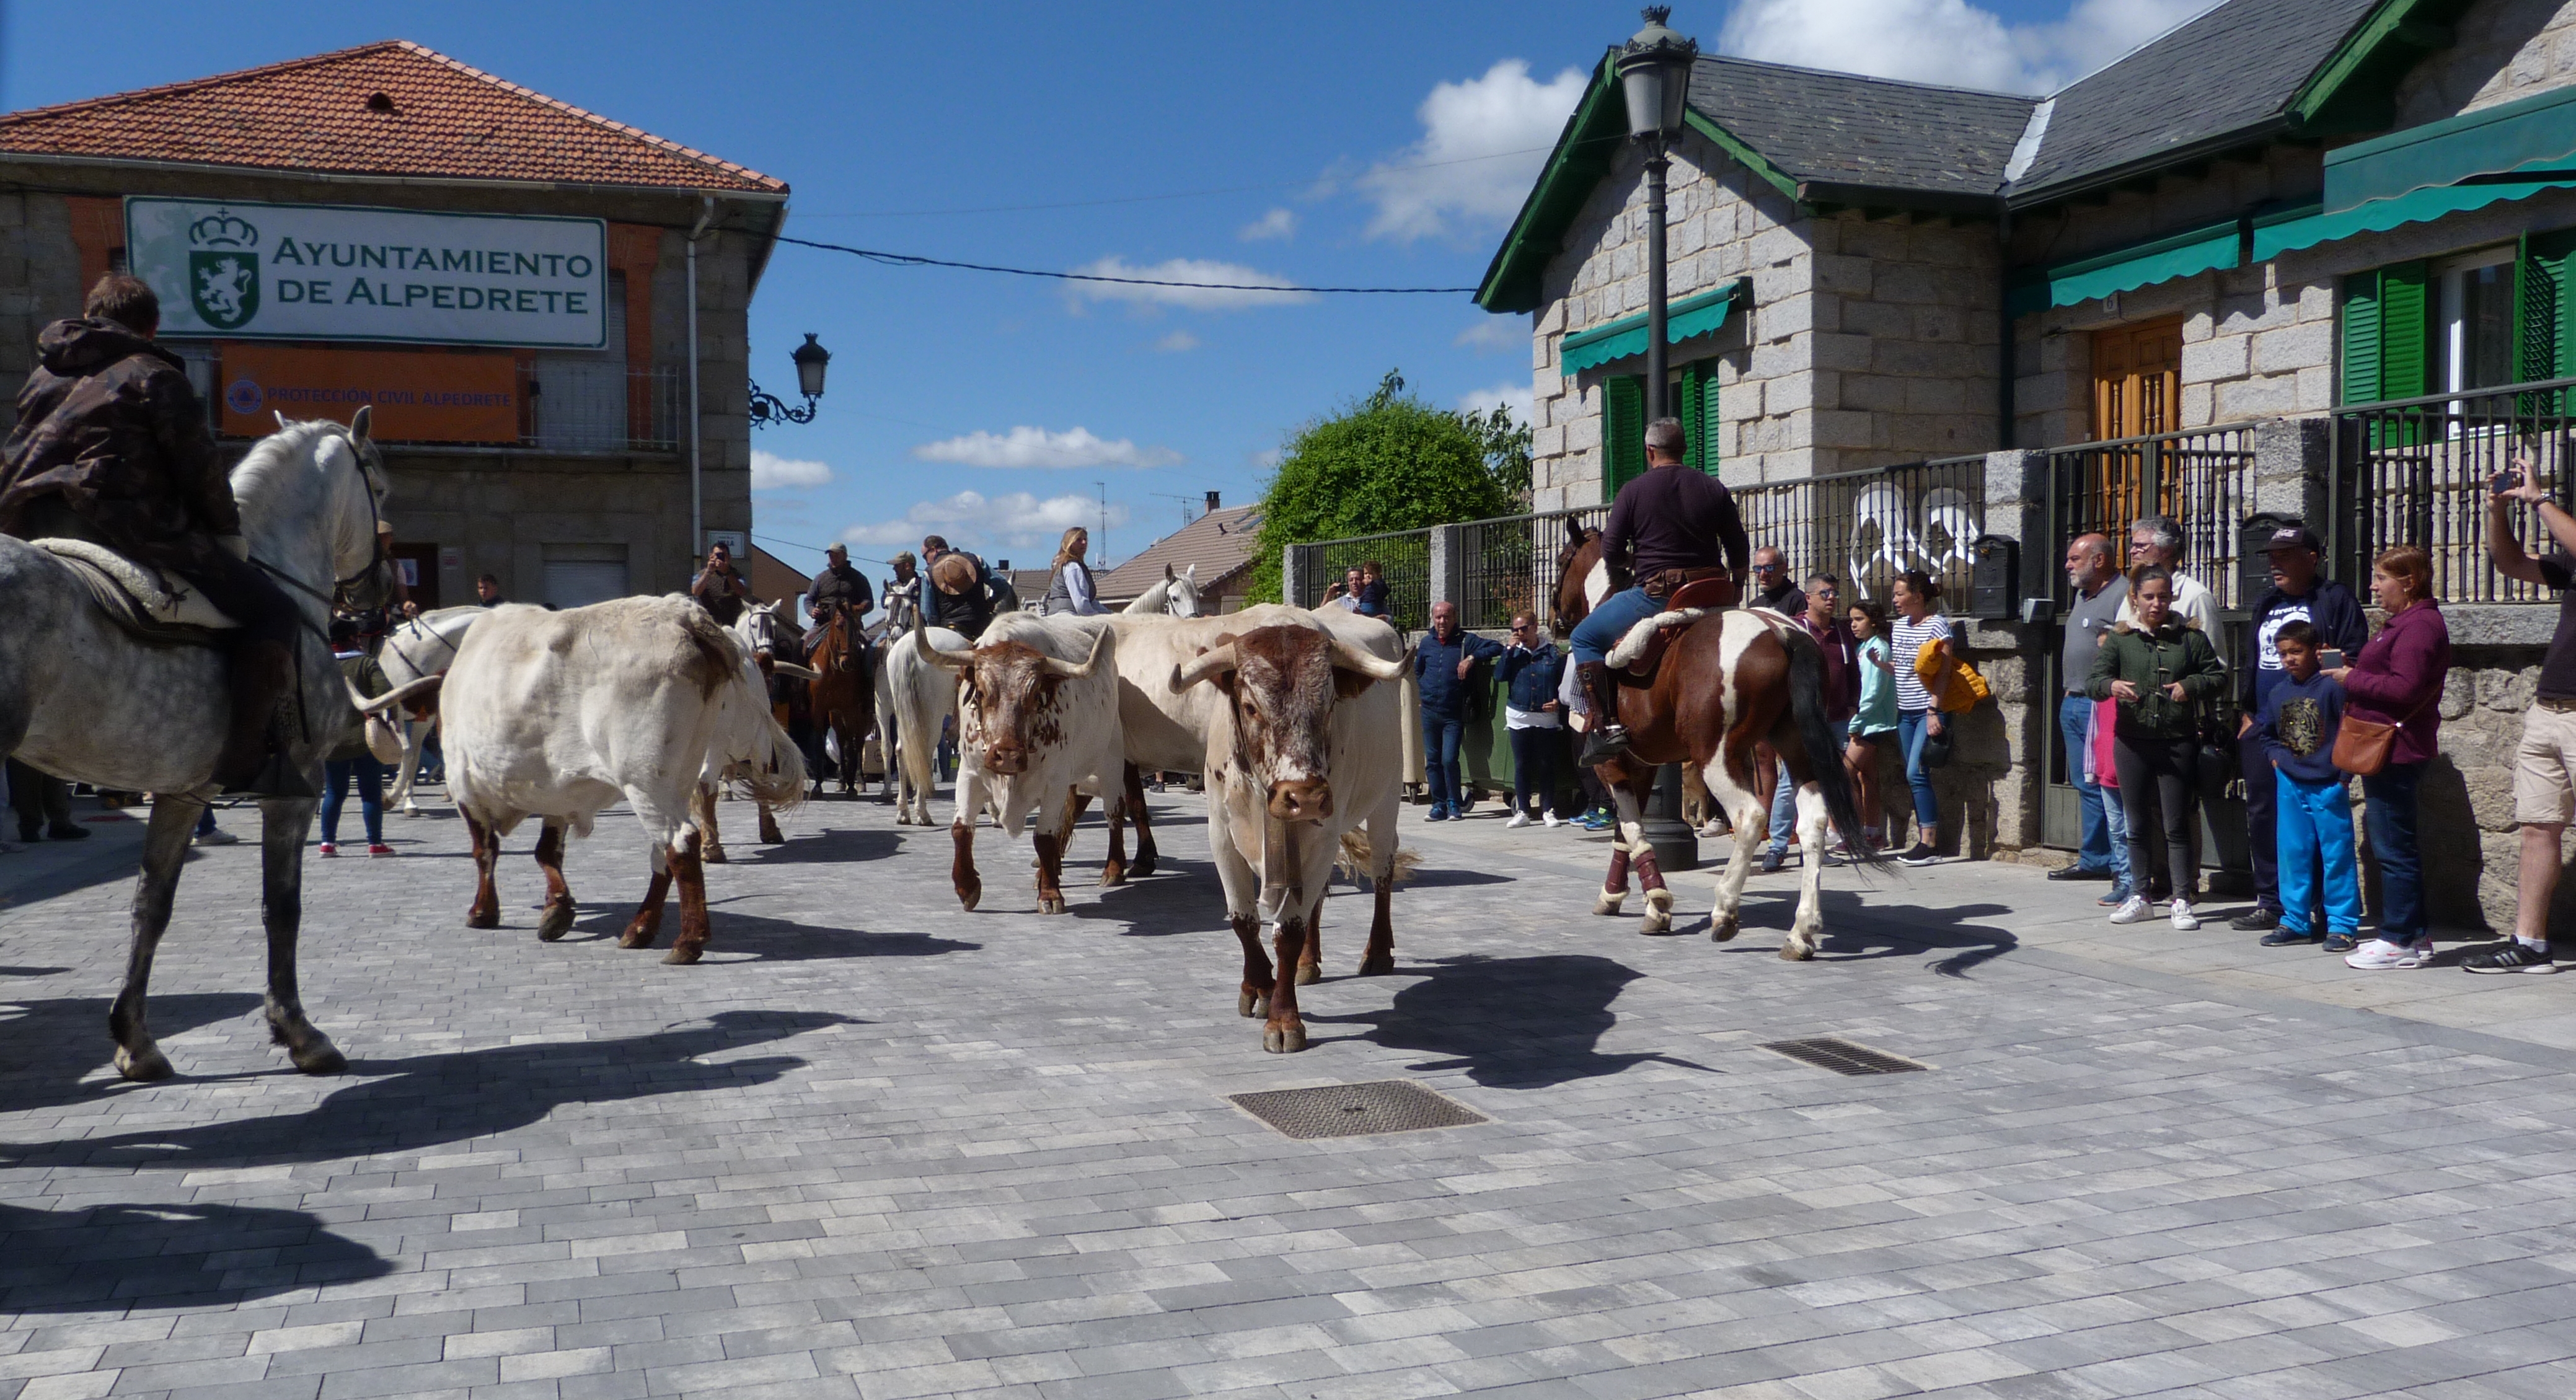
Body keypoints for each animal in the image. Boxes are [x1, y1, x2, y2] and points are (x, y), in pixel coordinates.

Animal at [0, 409, 391, 1075]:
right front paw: (299, 1031)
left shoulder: (182, 794)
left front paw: (136, 1040)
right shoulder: (295, 792)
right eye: (383, 490)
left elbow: (150, 906)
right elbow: (281, 908)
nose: (377, 597)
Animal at [438, 592, 803, 962]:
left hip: (646, 779)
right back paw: (640, 929)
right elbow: (546, 851)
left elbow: (485, 850)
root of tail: (684, 614)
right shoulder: (557, 792)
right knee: (665, 849)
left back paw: (687, 942)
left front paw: (483, 911)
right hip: (679, 776)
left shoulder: (462, 782)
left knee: (680, 844)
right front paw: (557, 911)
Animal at [927, 607, 1128, 911]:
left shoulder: (1055, 783)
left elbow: (1044, 837)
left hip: (1110, 759)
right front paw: (967, 887)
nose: (1007, 756)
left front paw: (1050, 894)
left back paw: (1113, 870)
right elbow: (961, 829)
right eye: (982, 693)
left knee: (1113, 812)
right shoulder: (969, 774)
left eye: (1035, 695)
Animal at [1102, 607, 1401, 1055]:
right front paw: (1259, 986)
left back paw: (1378, 952)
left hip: (1388, 797)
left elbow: (1288, 930)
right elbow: (1244, 921)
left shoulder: (1323, 836)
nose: (1305, 797)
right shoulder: (1222, 837)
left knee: (1383, 869)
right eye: (1250, 706)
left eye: (1330, 703)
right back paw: (1307, 964)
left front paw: (1284, 1019)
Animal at [1545, 519, 1875, 957]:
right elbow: (1626, 833)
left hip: (1717, 757)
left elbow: (1632, 830)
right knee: (1814, 823)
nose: (1553, 619)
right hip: (1796, 745)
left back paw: (1725, 911)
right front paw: (1620, 895)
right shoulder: (1641, 764)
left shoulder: (1610, 764)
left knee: (1751, 816)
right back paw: (1801, 930)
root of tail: (1780, 633)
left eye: (1562, 561)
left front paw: (1656, 904)